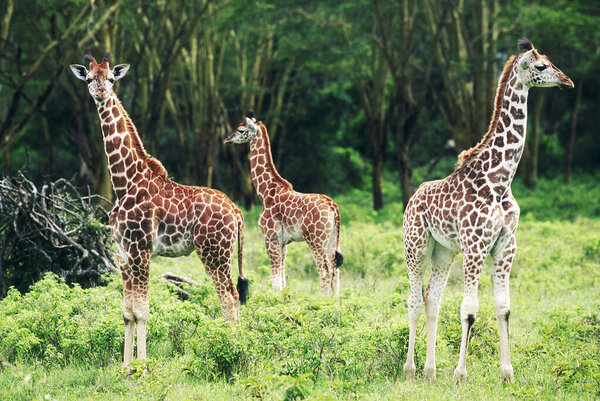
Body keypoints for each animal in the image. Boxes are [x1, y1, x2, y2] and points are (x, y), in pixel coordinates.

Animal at [70, 53, 248, 366]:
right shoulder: (123, 253)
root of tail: (236, 212)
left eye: (112, 79)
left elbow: (142, 311)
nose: (101, 92)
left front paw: (141, 365)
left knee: (228, 296)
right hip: (220, 253)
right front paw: (125, 365)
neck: (123, 182)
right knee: (233, 294)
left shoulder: (141, 249)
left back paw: (233, 351)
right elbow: (127, 312)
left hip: (213, 252)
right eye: (90, 78)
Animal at [223, 112, 342, 296]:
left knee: (325, 271)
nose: (227, 138)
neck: (265, 192)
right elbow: (283, 279)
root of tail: (333, 207)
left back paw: (325, 300)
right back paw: (336, 301)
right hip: (332, 239)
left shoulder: (270, 237)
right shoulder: (284, 242)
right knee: (335, 270)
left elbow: (275, 280)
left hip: (316, 240)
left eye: (241, 130)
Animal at [400, 39, 576, 382]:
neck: (500, 179)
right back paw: (410, 369)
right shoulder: (475, 246)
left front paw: (507, 372)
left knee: (432, 300)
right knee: (413, 301)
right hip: (416, 247)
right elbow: (469, 310)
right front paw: (460, 374)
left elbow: (503, 308)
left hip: (443, 252)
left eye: (551, 62)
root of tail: (412, 197)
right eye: (541, 66)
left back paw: (430, 371)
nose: (568, 82)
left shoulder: (506, 246)